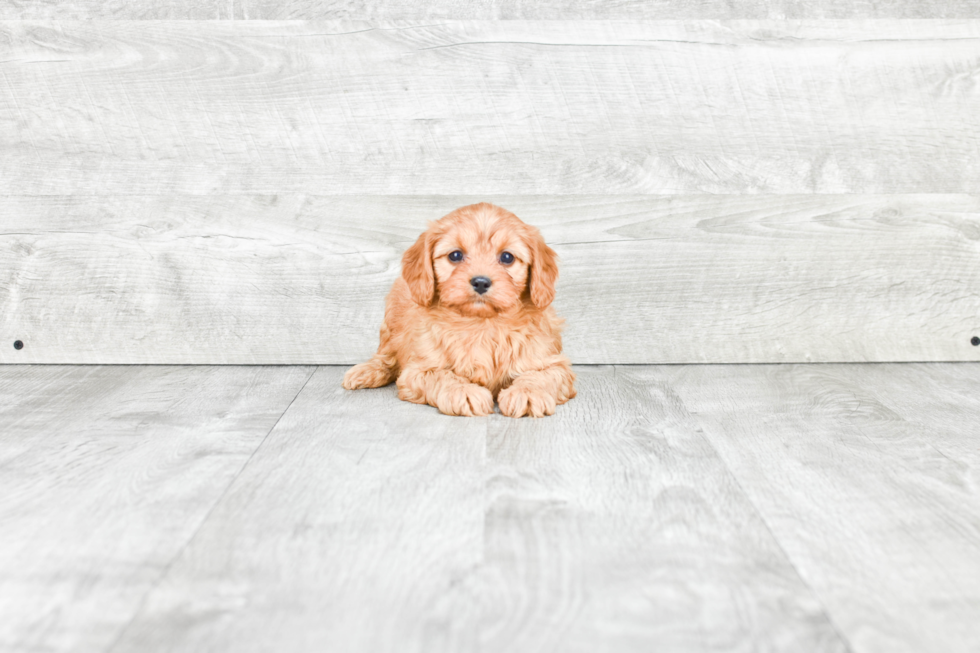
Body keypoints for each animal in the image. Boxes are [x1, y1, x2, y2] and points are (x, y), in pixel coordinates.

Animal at [344, 202, 576, 418]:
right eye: (455, 255)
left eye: (507, 257)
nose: (481, 282)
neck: (482, 323)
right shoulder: (418, 369)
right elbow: (442, 376)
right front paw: (464, 391)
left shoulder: (554, 364)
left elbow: (541, 375)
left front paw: (526, 393)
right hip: (391, 320)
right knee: (386, 356)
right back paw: (366, 372)